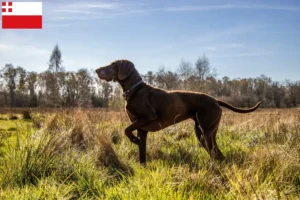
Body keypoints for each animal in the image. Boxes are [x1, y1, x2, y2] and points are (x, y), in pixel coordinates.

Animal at [95, 60, 260, 165]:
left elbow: (126, 129)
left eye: (113, 64)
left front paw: (134, 140)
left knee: (213, 153)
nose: (96, 70)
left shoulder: (147, 117)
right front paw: (142, 165)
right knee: (217, 153)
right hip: (207, 132)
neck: (134, 90)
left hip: (204, 132)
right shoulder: (142, 129)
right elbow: (141, 152)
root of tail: (215, 100)